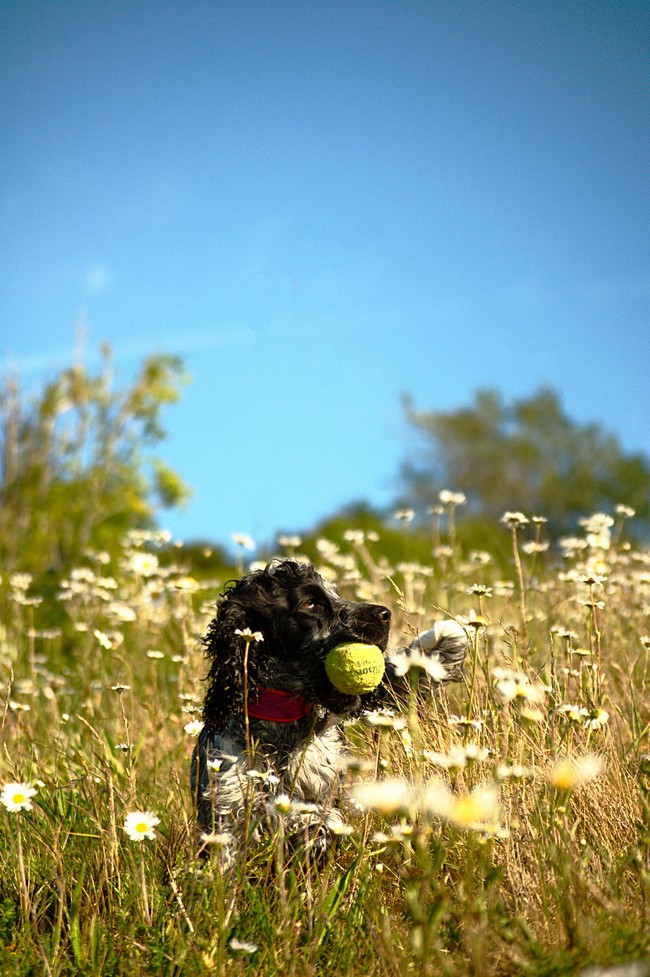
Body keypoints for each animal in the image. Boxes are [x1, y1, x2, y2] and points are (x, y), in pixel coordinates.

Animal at [190, 560, 464, 864]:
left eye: (335, 594)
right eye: (311, 603)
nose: (385, 614)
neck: (280, 728)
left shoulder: (320, 797)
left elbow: (320, 825)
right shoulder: (225, 810)